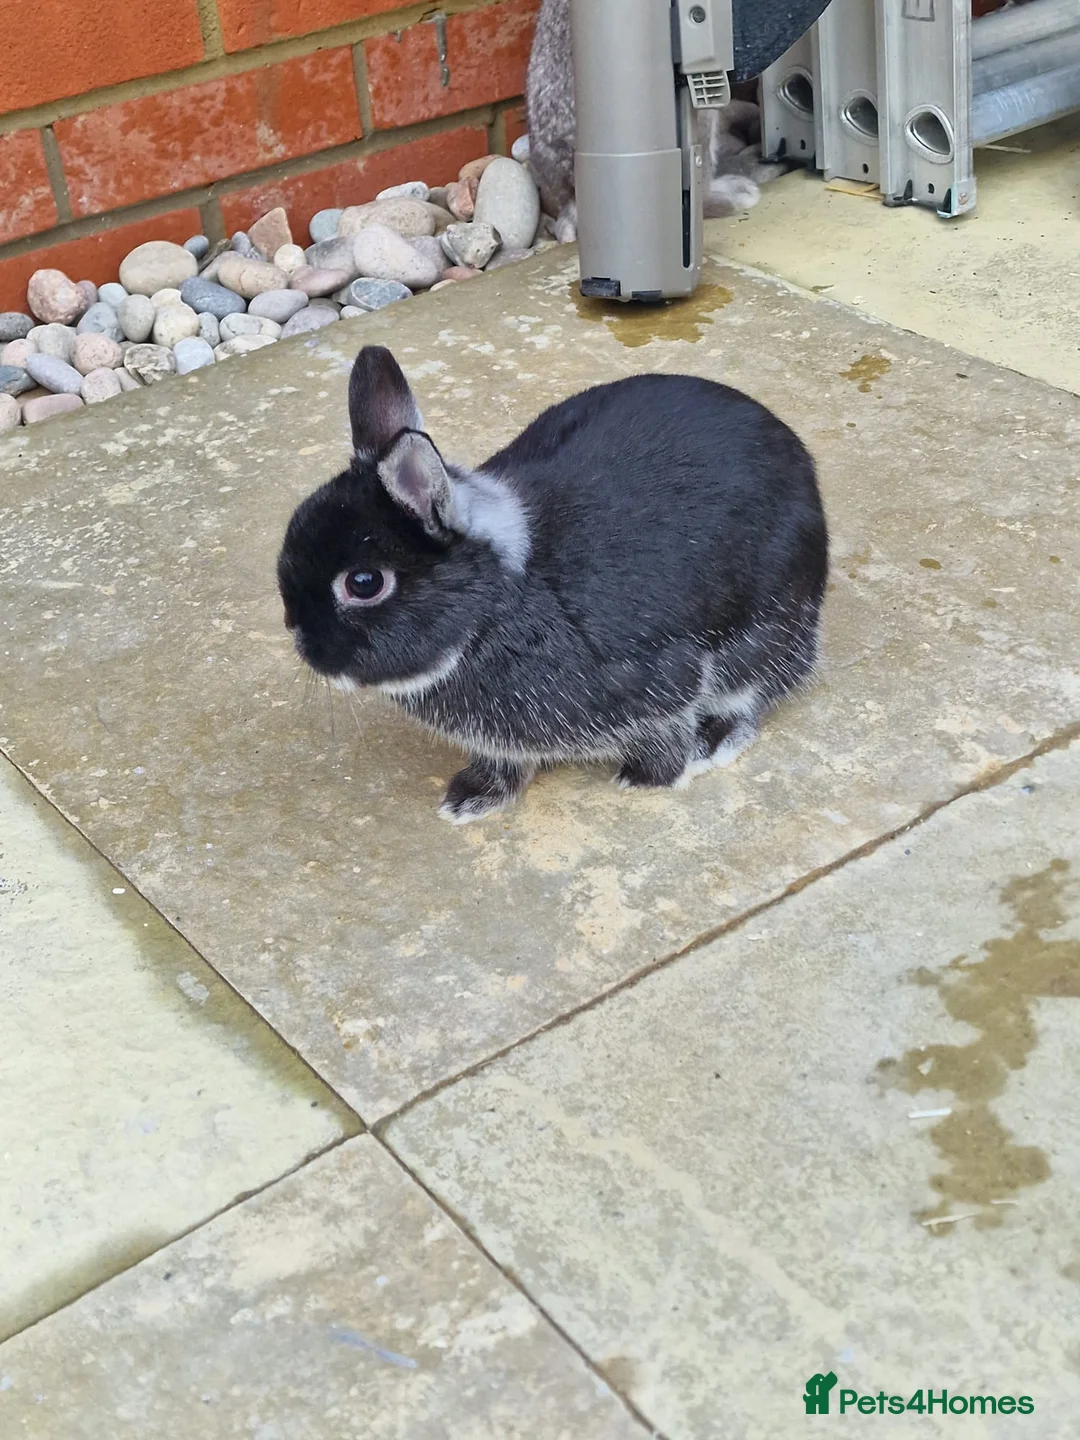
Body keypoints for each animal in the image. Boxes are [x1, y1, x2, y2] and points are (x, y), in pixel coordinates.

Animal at [277, 346, 828, 824]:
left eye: (364, 582)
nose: (302, 641)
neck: (492, 613)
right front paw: (470, 799)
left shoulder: (665, 678)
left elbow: (668, 730)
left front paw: (648, 778)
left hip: (763, 635)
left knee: (754, 695)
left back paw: (711, 742)